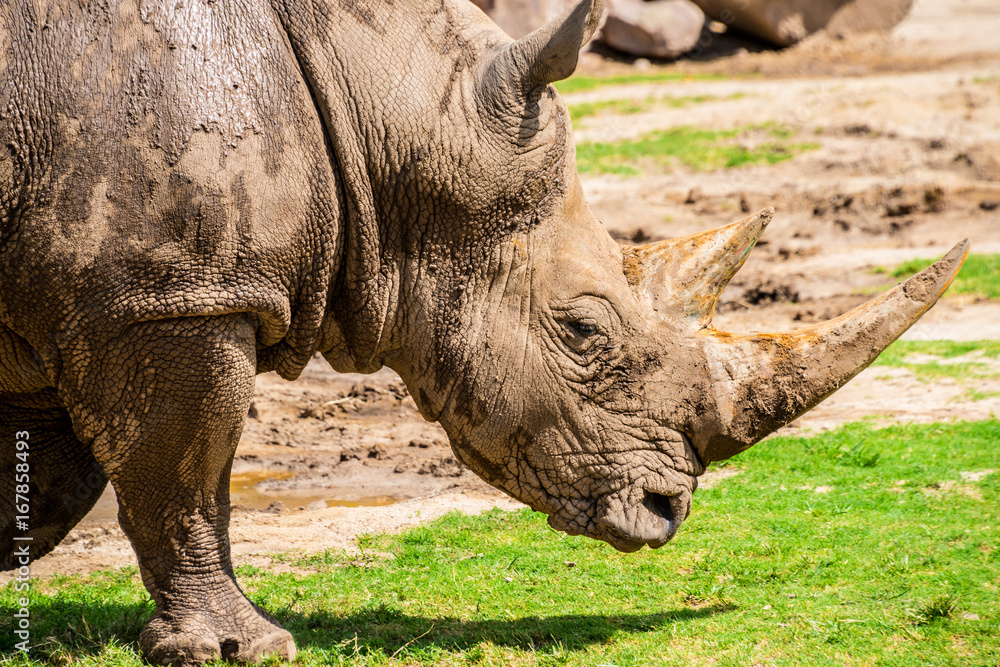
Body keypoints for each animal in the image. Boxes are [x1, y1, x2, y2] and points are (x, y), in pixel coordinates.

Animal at [0, 0, 967, 663]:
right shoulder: (173, 293)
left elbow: (53, 481)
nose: (668, 512)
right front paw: (244, 648)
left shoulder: (100, 294)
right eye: (584, 332)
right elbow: (186, 473)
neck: (383, 102)